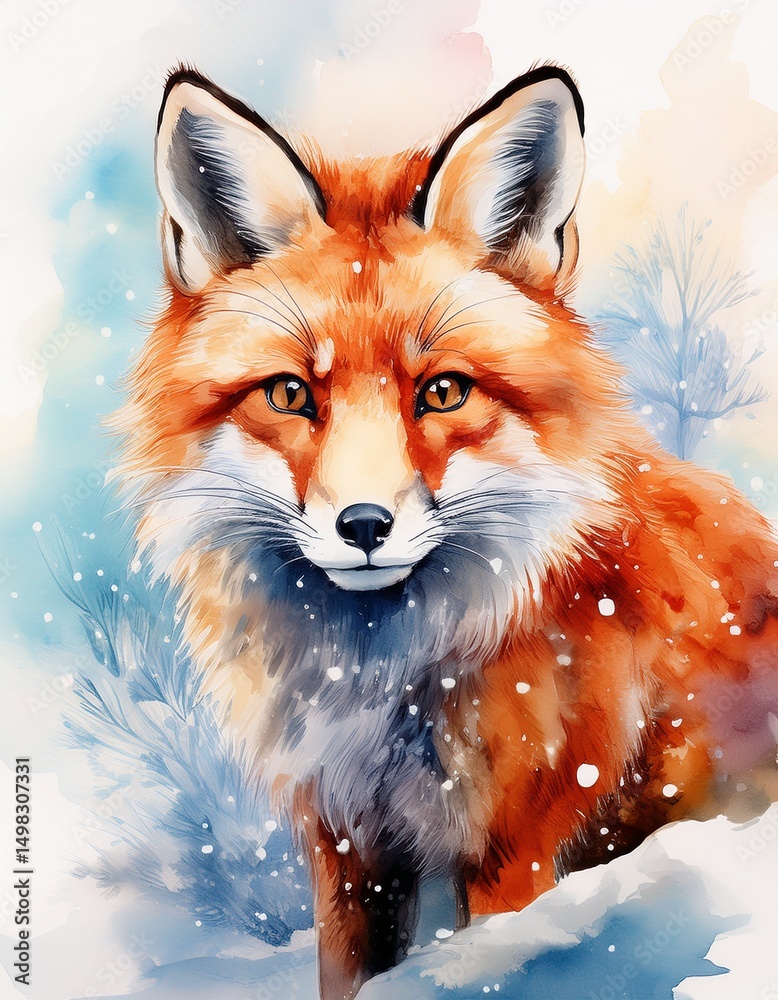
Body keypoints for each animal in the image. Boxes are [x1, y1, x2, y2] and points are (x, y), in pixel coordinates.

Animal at [115, 65, 778, 1000]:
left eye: (442, 392)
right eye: (289, 394)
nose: (363, 525)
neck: (378, 681)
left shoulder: (519, 848)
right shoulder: (350, 848)